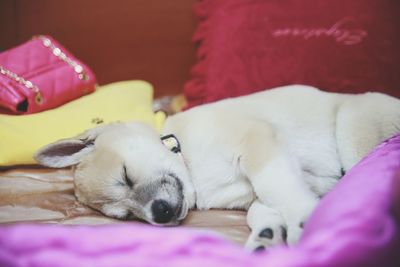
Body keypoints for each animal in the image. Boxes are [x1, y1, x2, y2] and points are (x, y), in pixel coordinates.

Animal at [34, 86, 400, 251]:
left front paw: (302, 221)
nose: (160, 214)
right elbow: (262, 205)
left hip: (352, 129)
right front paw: (267, 235)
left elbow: (276, 186)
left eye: (126, 176)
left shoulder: (259, 143)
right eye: (125, 216)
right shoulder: (257, 186)